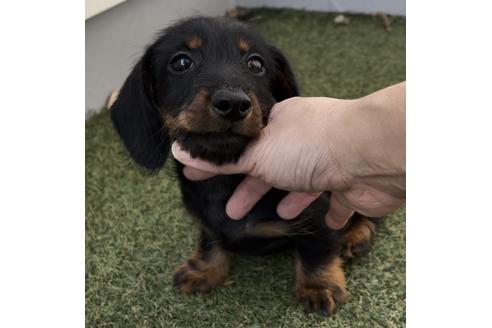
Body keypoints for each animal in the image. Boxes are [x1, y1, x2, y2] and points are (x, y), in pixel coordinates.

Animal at [111, 16, 376, 316]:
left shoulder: (317, 210)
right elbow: (210, 238)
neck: (225, 180)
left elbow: (316, 249)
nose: (233, 104)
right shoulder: (206, 221)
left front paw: (318, 286)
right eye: (181, 62)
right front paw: (204, 268)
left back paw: (355, 236)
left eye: (255, 64)